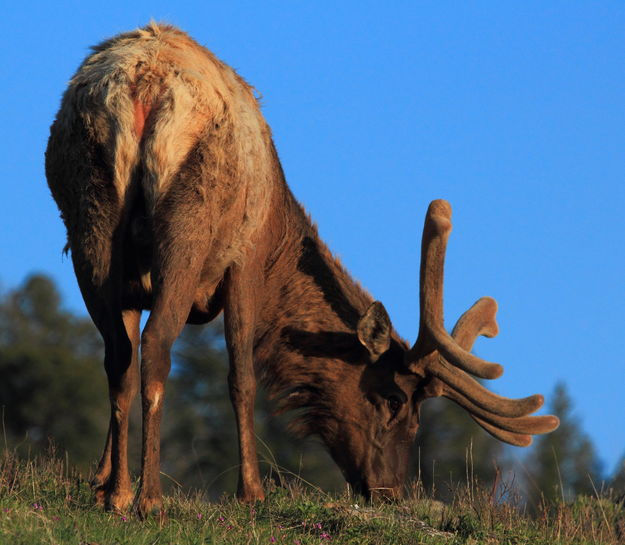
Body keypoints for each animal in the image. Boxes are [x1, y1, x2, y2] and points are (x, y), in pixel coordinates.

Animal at [46, 23, 560, 516]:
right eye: (395, 401)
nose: (389, 491)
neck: (280, 236)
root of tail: (143, 86)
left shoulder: (135, 281)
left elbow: (125, 359)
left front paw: (101, 482)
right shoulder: (244, 259)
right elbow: (242, 377)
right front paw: (251, 492)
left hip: (90, 214)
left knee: (118, 353)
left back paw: (119, 494)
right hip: (188, 226)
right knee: (155, 346)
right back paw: (150, 498)